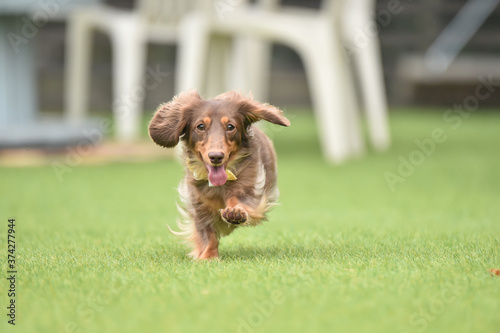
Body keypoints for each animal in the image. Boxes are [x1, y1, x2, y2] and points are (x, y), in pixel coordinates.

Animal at [148, 91, 290, 260]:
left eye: (230, 127)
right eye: (200, 126)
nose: (216, 156)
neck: (219, 186)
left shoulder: (250, 190)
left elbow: (239, 200)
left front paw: (235, 212)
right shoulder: (198, 205)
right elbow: (207, 233)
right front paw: (208, 256)